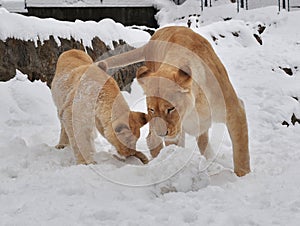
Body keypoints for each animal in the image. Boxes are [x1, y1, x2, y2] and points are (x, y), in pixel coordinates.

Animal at [96, 26, 251, 177]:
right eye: (152, 109)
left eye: (170, 109)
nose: (163, 133)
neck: (195, 104)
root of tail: (151, 39)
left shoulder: (235, 111)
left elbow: (241, 152)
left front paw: (243, 177)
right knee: (152, 139)